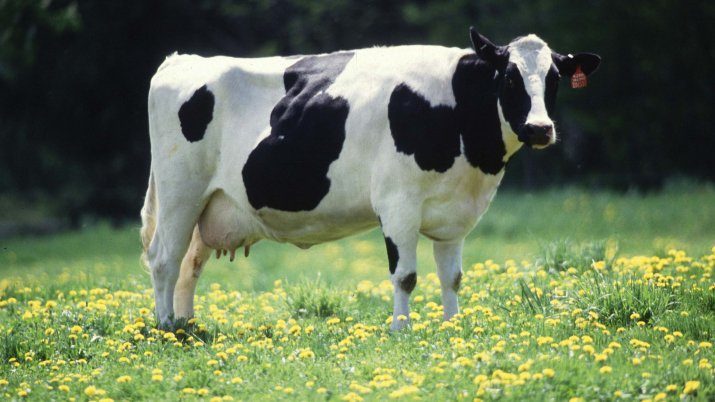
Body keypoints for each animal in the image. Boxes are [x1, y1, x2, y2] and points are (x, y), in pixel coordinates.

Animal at [140, 27, 600, 330]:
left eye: (554, 78)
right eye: (509, 77)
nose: (540, 128)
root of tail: (182, 59)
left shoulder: (455, 214)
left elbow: (451, 276)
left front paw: (453, 327)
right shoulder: (398, 204)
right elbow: (406, 275)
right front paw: (401, 330)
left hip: (210, 204)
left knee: (189, 264)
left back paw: (187, 325)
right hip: (180, 192)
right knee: (164, 259)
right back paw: (166, 328)